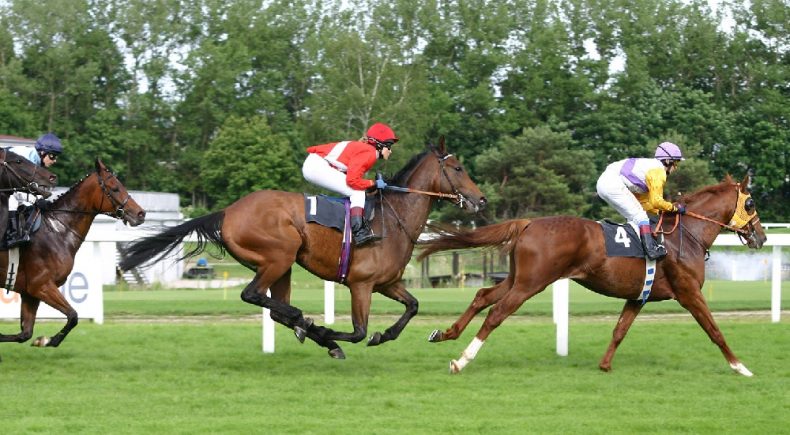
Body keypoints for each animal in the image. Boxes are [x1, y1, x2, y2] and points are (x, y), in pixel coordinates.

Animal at [0, 158, 145, 350]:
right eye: (115, 188)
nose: (141, 213)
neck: (57, 231)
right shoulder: (41, 286)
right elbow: (73, 316)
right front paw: (49, 340)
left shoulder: (30, 292)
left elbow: (25, 333)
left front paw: (41, 340)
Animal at [120, 138, 486, 360]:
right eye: (458, 168)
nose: (481, 199)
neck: (393, 218)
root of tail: (228, 211)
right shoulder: (361, 284)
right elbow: (357, 331)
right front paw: (330, 332)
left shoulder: (387, 282)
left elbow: (413, 306)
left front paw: (382, 335)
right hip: (280, 256)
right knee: (254, 295)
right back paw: (308, 324)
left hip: (280, 265)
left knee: (272, 306)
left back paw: (304, 325)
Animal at [420, 175, 768, 376]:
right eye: (751, 203)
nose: (761, 237)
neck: (686, 235)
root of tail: (529, 222)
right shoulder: (689, 293)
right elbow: (715, 330)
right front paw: (741, 366)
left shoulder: (638, 297)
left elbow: (619, 330)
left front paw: (604, 365)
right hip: (532, 283)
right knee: (497, 313)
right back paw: (462, 360)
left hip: (518, 277)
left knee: (482, 297)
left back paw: (445, 334)